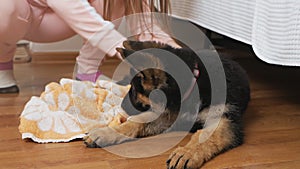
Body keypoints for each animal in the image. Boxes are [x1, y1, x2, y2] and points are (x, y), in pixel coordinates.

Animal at [83, 40, 250, 168]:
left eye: (135, 90)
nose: (122, 107)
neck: (193, 85)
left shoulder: (223, 118)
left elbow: (204, 135)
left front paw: (187, 153)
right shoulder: (167, 114)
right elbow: (136, 122)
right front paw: (105, 132)